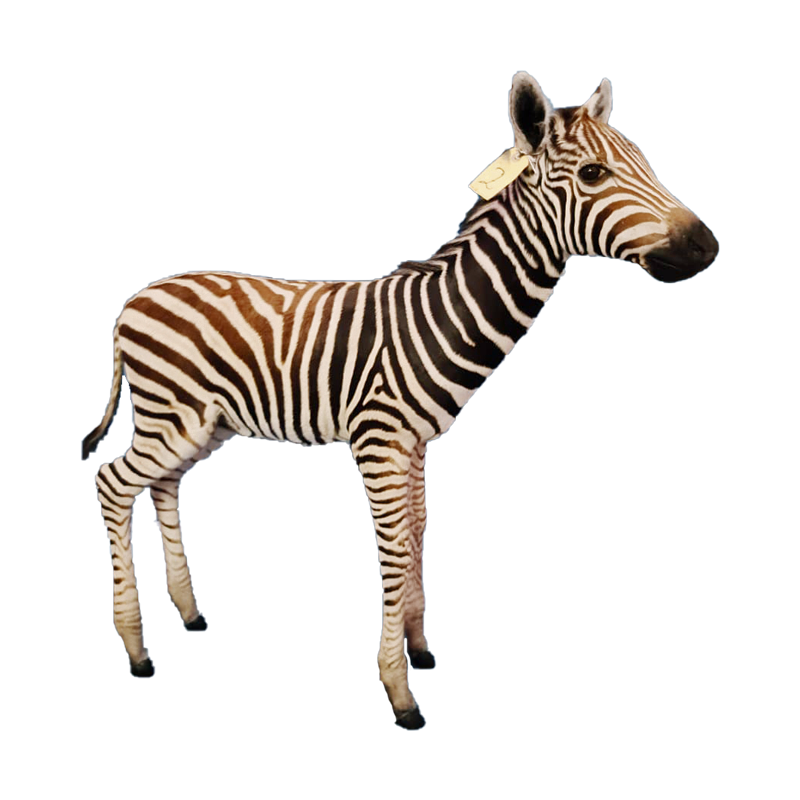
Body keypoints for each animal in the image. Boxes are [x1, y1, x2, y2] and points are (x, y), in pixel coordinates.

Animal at [82, 72, 718, 729]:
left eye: (645, 162)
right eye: (593, 174)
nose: (708, 246)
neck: (441, 317)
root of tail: (136, 298)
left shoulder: (415, 445)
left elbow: (416, 533)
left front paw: (418, 646)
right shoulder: (379, 441)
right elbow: (392, 551)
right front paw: (397, 689)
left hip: (201, 422)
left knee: (161, 485)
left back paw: (188, 611)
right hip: (172, 415)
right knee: (112, 483)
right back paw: (135, 649)